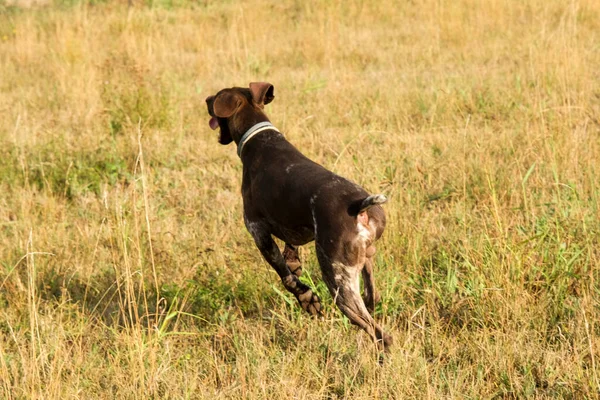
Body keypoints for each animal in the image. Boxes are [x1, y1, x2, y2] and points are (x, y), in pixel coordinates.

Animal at [206, 82, 394, 350]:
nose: (206, 99)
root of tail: (360, 208)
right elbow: (291, 250)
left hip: (339, 282)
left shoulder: (258, 232)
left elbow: (286, 276)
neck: (260, 139)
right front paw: (295, 264)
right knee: (373, 297)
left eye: (216, 97)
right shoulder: (293, 226)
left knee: (379, 333)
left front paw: (307, 300)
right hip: (364, 264)